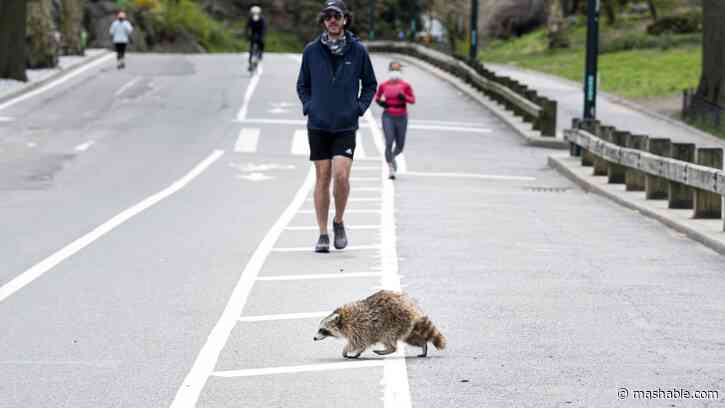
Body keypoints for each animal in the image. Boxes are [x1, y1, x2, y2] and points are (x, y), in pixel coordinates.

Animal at [313, 290, 446, 359]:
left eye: (322, 330)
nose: (314, 338)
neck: (342, 319)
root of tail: (411, 307)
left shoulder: (358, 327)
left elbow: (357, 342)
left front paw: (346, 350)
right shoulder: (362, 330)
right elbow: (362, 344)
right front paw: (357, 353)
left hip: (394, 323)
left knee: (389, 339)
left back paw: (388, 349)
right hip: (406, 327)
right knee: (412, 338)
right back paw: (423, 345)